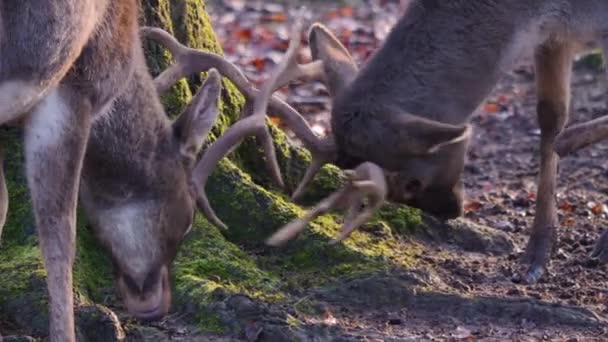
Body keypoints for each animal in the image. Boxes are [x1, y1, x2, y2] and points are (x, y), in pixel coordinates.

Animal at [183, 0, 608, 288]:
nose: (451, 211)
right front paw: (536, 255)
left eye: (412, 181)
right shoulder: (553, 36)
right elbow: (549, 117)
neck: (536, 10)